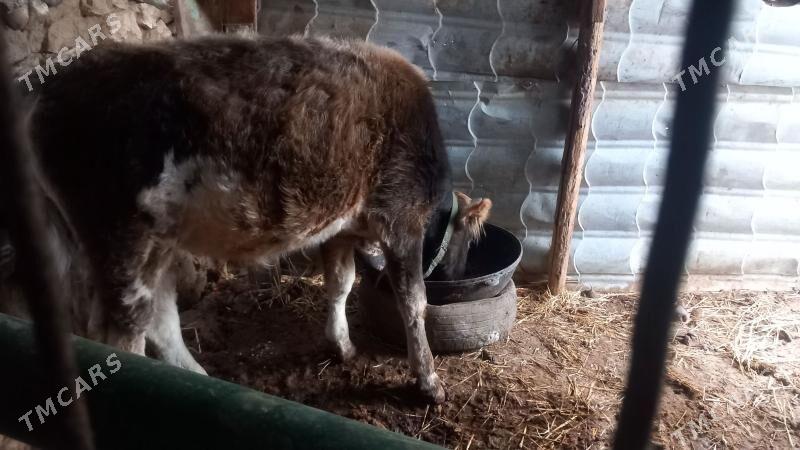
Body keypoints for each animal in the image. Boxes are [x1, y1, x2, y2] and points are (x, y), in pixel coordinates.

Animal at [17, 34, 494, 403]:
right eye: (467, 245)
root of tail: (48, 88)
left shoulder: (340, 228)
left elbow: (341, 284)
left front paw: (341, 346)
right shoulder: (401, 218)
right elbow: (414, 303)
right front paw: (428, 383)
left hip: (155, 237)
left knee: (159, 314)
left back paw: (196, 380)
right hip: (118, 234)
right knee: (125, 328)